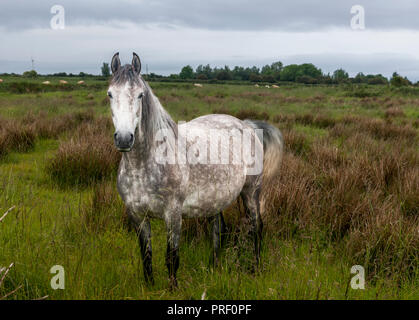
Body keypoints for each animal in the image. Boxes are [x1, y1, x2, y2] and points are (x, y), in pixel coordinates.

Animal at [108, 52, 284, 288]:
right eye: (110, 94)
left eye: (140, 95)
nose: (124, 138)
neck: (142, 167)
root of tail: (247, 124)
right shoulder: (137, 215)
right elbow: (146, 256)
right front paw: (150, 288)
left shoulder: (173, 214)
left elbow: (172, 257)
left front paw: (172, 289)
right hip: (215, 199)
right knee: (219, 229)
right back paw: (213, 268)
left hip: (251, 192)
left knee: (256, 227)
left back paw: (255, 268)